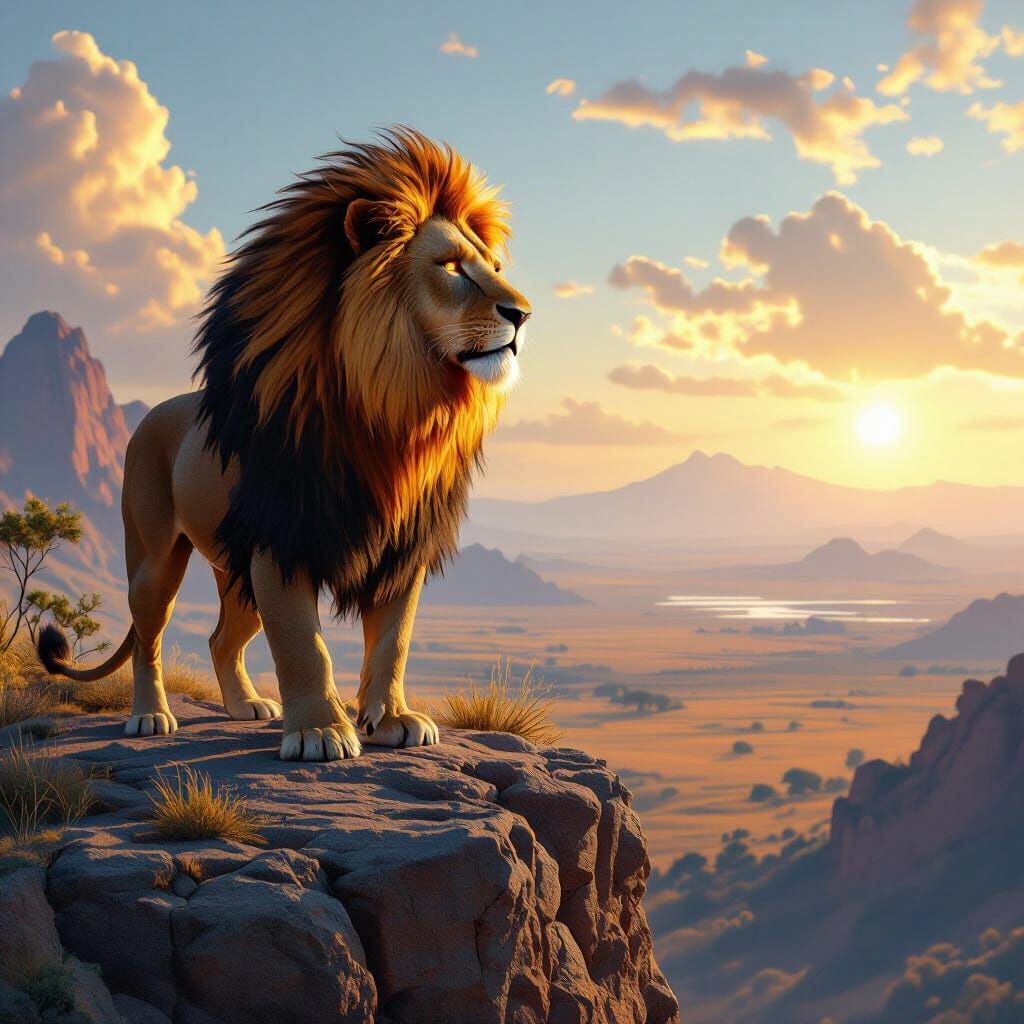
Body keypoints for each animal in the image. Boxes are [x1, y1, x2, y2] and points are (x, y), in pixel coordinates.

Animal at [38, 127, 531, 762]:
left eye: (493, 267)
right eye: (451, 267)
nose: (523, 314)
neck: (392, 414)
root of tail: (152, 414)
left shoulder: (402, 548)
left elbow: (393, 640)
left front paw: (394, 719)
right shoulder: (281, 540)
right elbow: (303, 643)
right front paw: (320, 731)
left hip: (238, 572)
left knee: (220, 637)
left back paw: (245, 705)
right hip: (155, 559)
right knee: (150, 638)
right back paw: (150, 716)